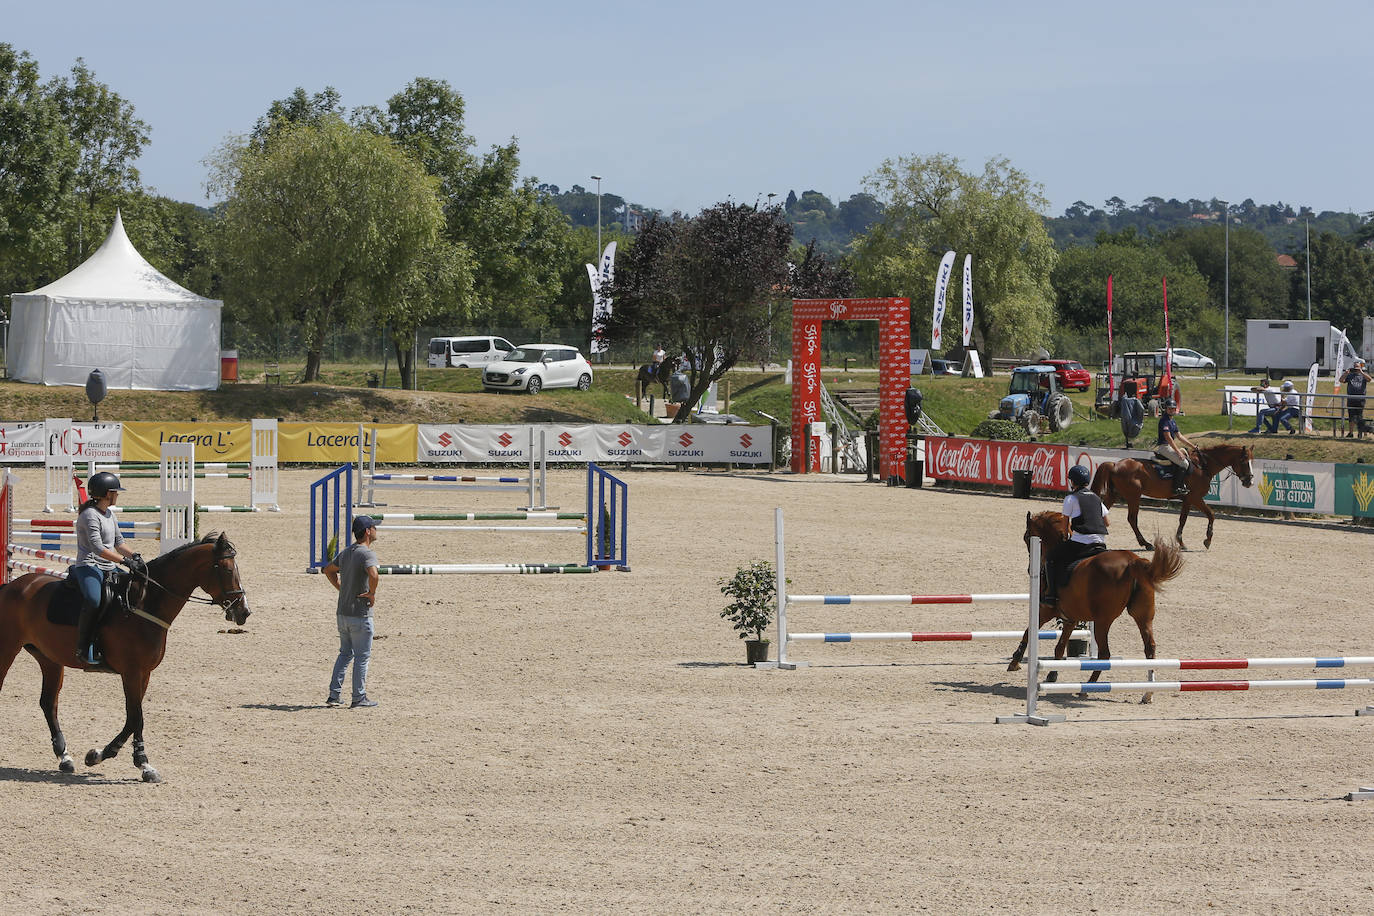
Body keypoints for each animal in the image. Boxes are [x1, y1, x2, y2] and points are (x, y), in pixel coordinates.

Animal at [0, 532, 250, 785]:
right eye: (227, 569)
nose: (244, 612)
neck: (145, 604)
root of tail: (11, 586)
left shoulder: (144, 673)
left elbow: (134, 718)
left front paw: (116, 758)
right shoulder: (131, 672)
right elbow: (135, 717)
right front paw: (126, 760)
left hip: (49, 658)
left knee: (48, 703)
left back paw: (64, 757)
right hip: (7, 650)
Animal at [1005, 513, 1187, 708]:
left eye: (1026, 537)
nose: (1030, 569)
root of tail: (1134, 561)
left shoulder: (1046, 611)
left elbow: (1028, 632)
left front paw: (1015, 662)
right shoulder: (1070, 618)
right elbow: (1059, 647)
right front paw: (1052, 674)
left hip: (1102, 621)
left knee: (1105, 654)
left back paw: (1088, 686)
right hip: (1142, 617)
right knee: (1149, 648)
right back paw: (1148, 693)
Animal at [1088, 444, 1253, 552]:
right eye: (1244, 462)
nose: (1249, 482)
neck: (1202, 466)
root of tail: (1115, 464)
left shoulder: (1188, 500)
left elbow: (1183, 519)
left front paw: (1181, 542)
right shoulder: (1195, 497)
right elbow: (1210, 515)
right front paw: (1207, 540)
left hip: (1114, 495)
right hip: (1133, 496)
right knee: (1132, 519)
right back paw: (1146, 544)